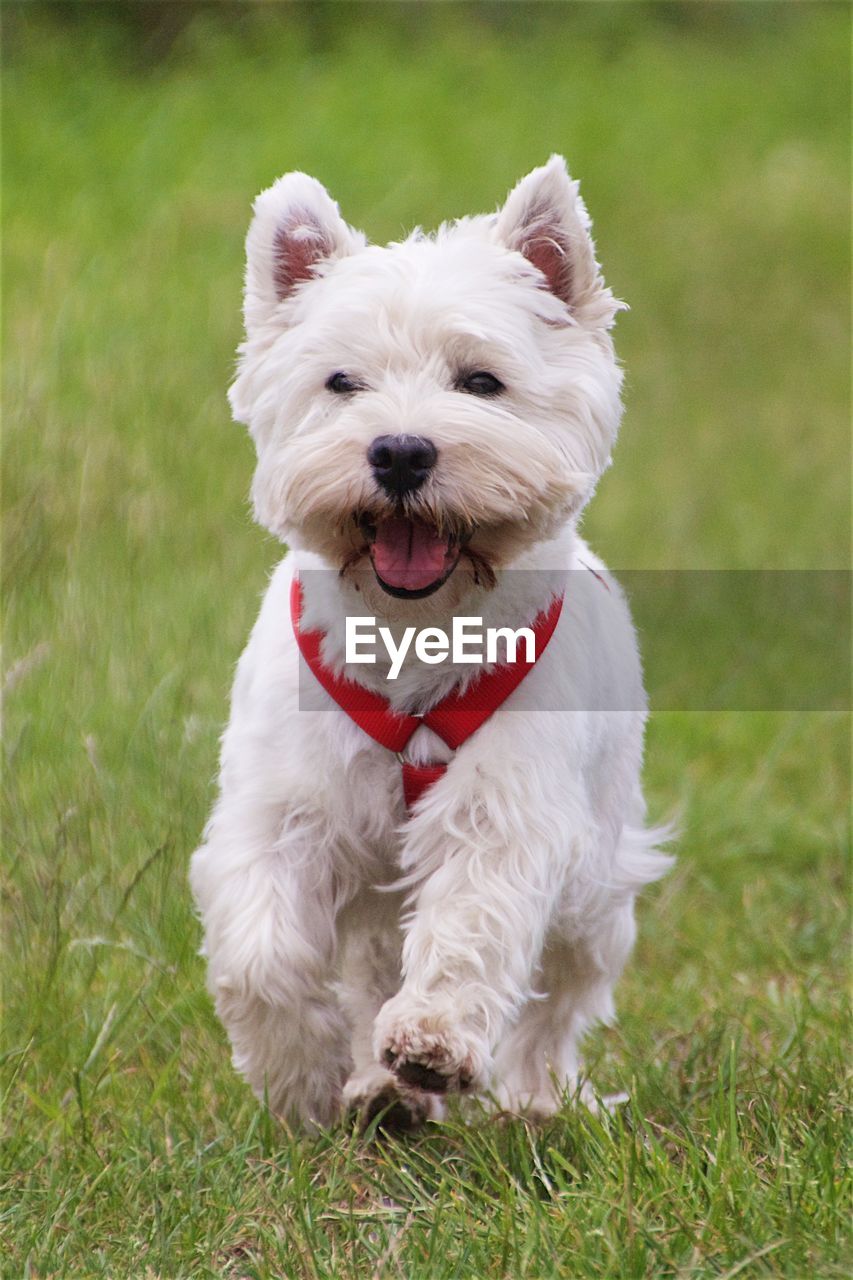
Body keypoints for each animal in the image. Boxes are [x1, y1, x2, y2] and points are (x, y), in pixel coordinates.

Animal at [189, 157, 666, 1131]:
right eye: (341, 382)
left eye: (480, 382)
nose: (401, 452)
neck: (415, 631)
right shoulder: (281, 811)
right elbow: (260, 955)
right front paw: (304, 1079)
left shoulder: (508, 808)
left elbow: (470, 924)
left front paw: (431, 1041)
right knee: (375, 961)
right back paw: (380, 1092)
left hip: (598, 877)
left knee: (562, 990)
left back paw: (528, 1096)